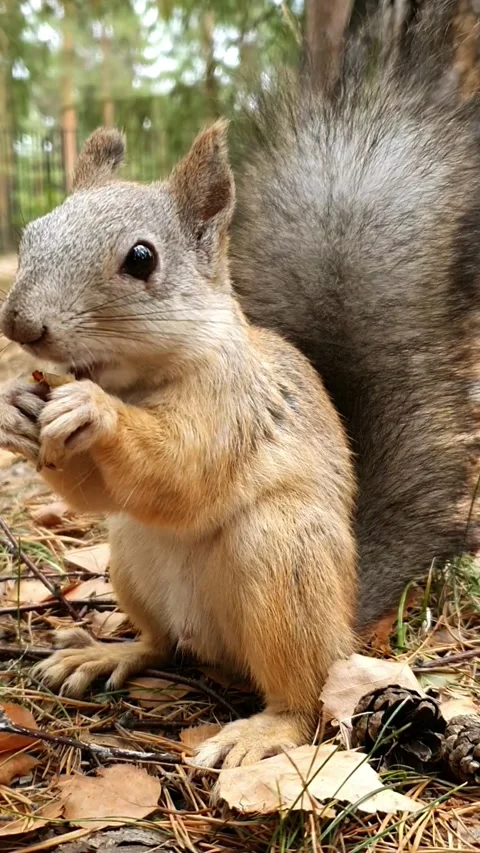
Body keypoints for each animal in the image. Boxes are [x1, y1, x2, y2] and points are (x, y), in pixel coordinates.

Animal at [0, 123, 356, 767]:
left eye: (141, 259)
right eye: (33, 232)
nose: (18, 325)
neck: (137, 380)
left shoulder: (230, 404)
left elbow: (180, 470)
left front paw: (95, 410)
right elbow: (93, 491)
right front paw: (13, 410)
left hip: (284, 557)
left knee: (307, 693)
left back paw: (263, 730)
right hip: (128, 560)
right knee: (161, 644)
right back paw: (106, 653)